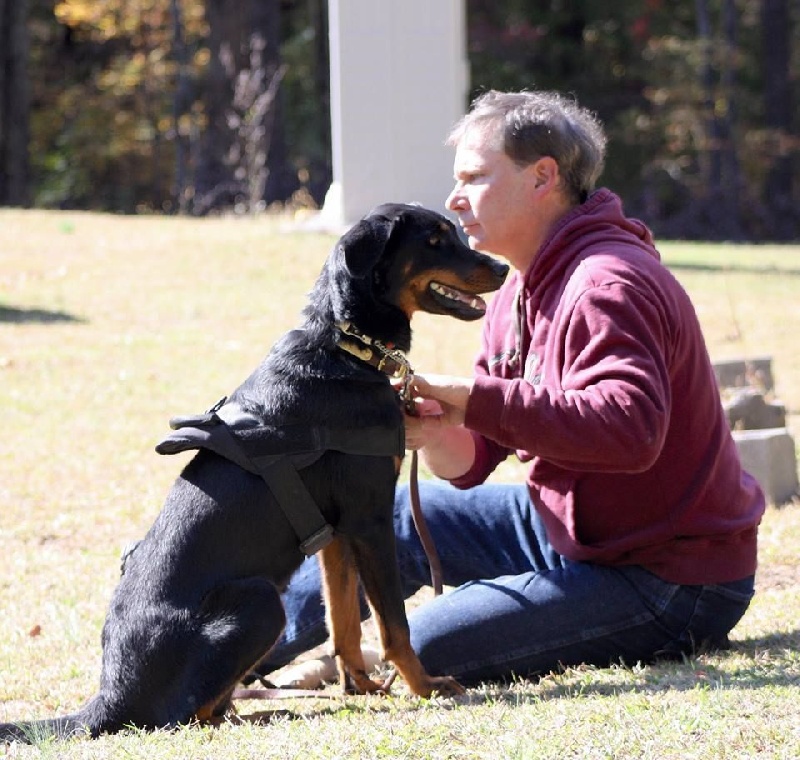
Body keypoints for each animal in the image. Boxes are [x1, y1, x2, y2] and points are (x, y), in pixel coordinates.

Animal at [0, 202, 506, 744]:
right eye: (435, 240)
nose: (502, 268)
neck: (345, 348)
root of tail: (111, 695)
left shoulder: (335, 533)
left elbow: (344, 621)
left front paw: (362, 687)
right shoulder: (369, 520)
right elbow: (394, 625)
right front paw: (425, 687)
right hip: (263, 600)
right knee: (189, 715)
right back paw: (266, 709)